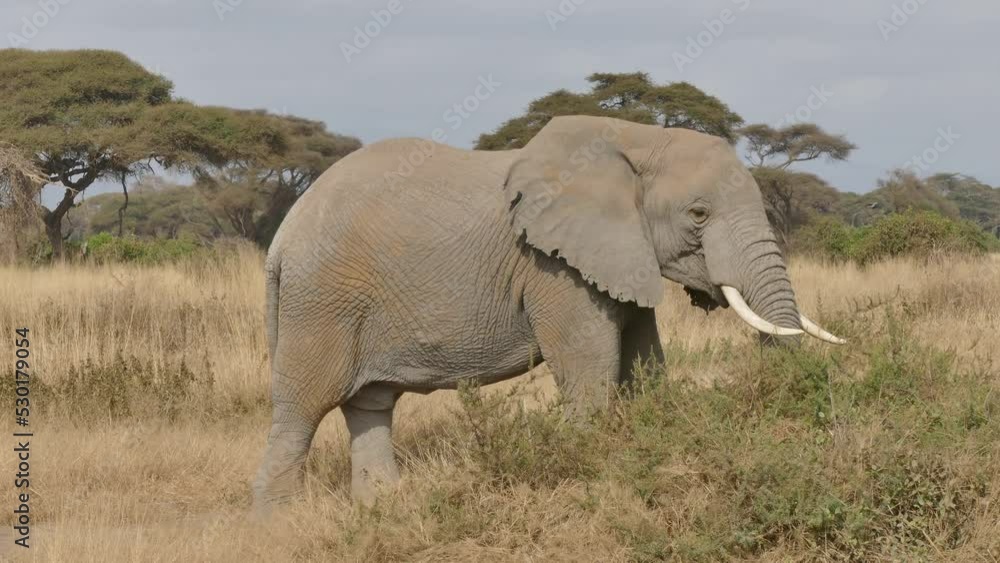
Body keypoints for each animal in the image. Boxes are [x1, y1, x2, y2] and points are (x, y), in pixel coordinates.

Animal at [252, 115, 844, 507]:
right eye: (698, 214)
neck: (634, 138)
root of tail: (282, 239)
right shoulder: (554, 267)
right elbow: (589, 367)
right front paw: (592, 479)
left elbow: (645, 363)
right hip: (321, 300)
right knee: (301, 412)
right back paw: (279, 525)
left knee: (369, 406)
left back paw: (384, 510)